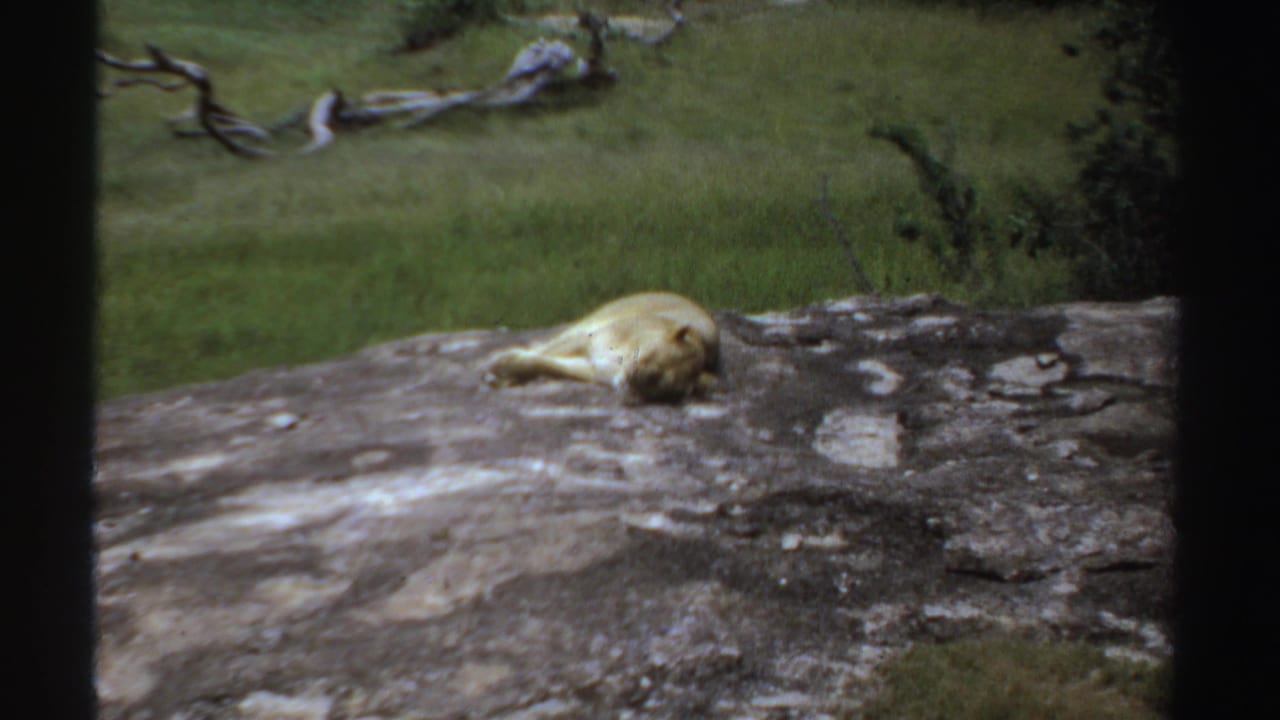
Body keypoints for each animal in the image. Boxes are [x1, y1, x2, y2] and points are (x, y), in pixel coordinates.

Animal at [483, 292, 720, 403]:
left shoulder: (590, 368)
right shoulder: (587, 338)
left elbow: (545, 363)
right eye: (650, 355)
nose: (633, 379)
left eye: (661, 386)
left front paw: (504, 373)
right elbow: (543, 354)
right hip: (587, 323)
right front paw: (501, 366)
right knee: (548, 343)